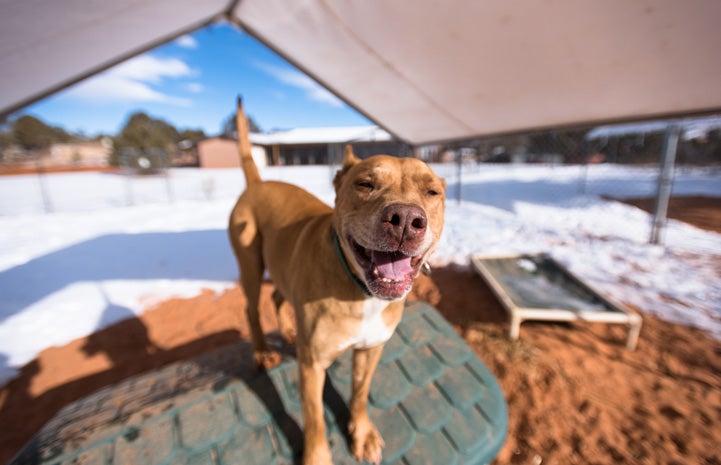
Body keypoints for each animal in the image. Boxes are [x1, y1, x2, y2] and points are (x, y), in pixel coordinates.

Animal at [231, 101, 444, 464]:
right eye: (365, 184)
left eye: (432, 192)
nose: (405, 219)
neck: (362, 293)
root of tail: (258, 183)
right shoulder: (312, 366)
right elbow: (315, 417)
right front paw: (317, 457)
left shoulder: (371, 350)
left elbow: (359, 392)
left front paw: (361, 432)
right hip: (250, 267)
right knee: (251, 308)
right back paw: (262, 351)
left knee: (278, 297)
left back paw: (288, 331)